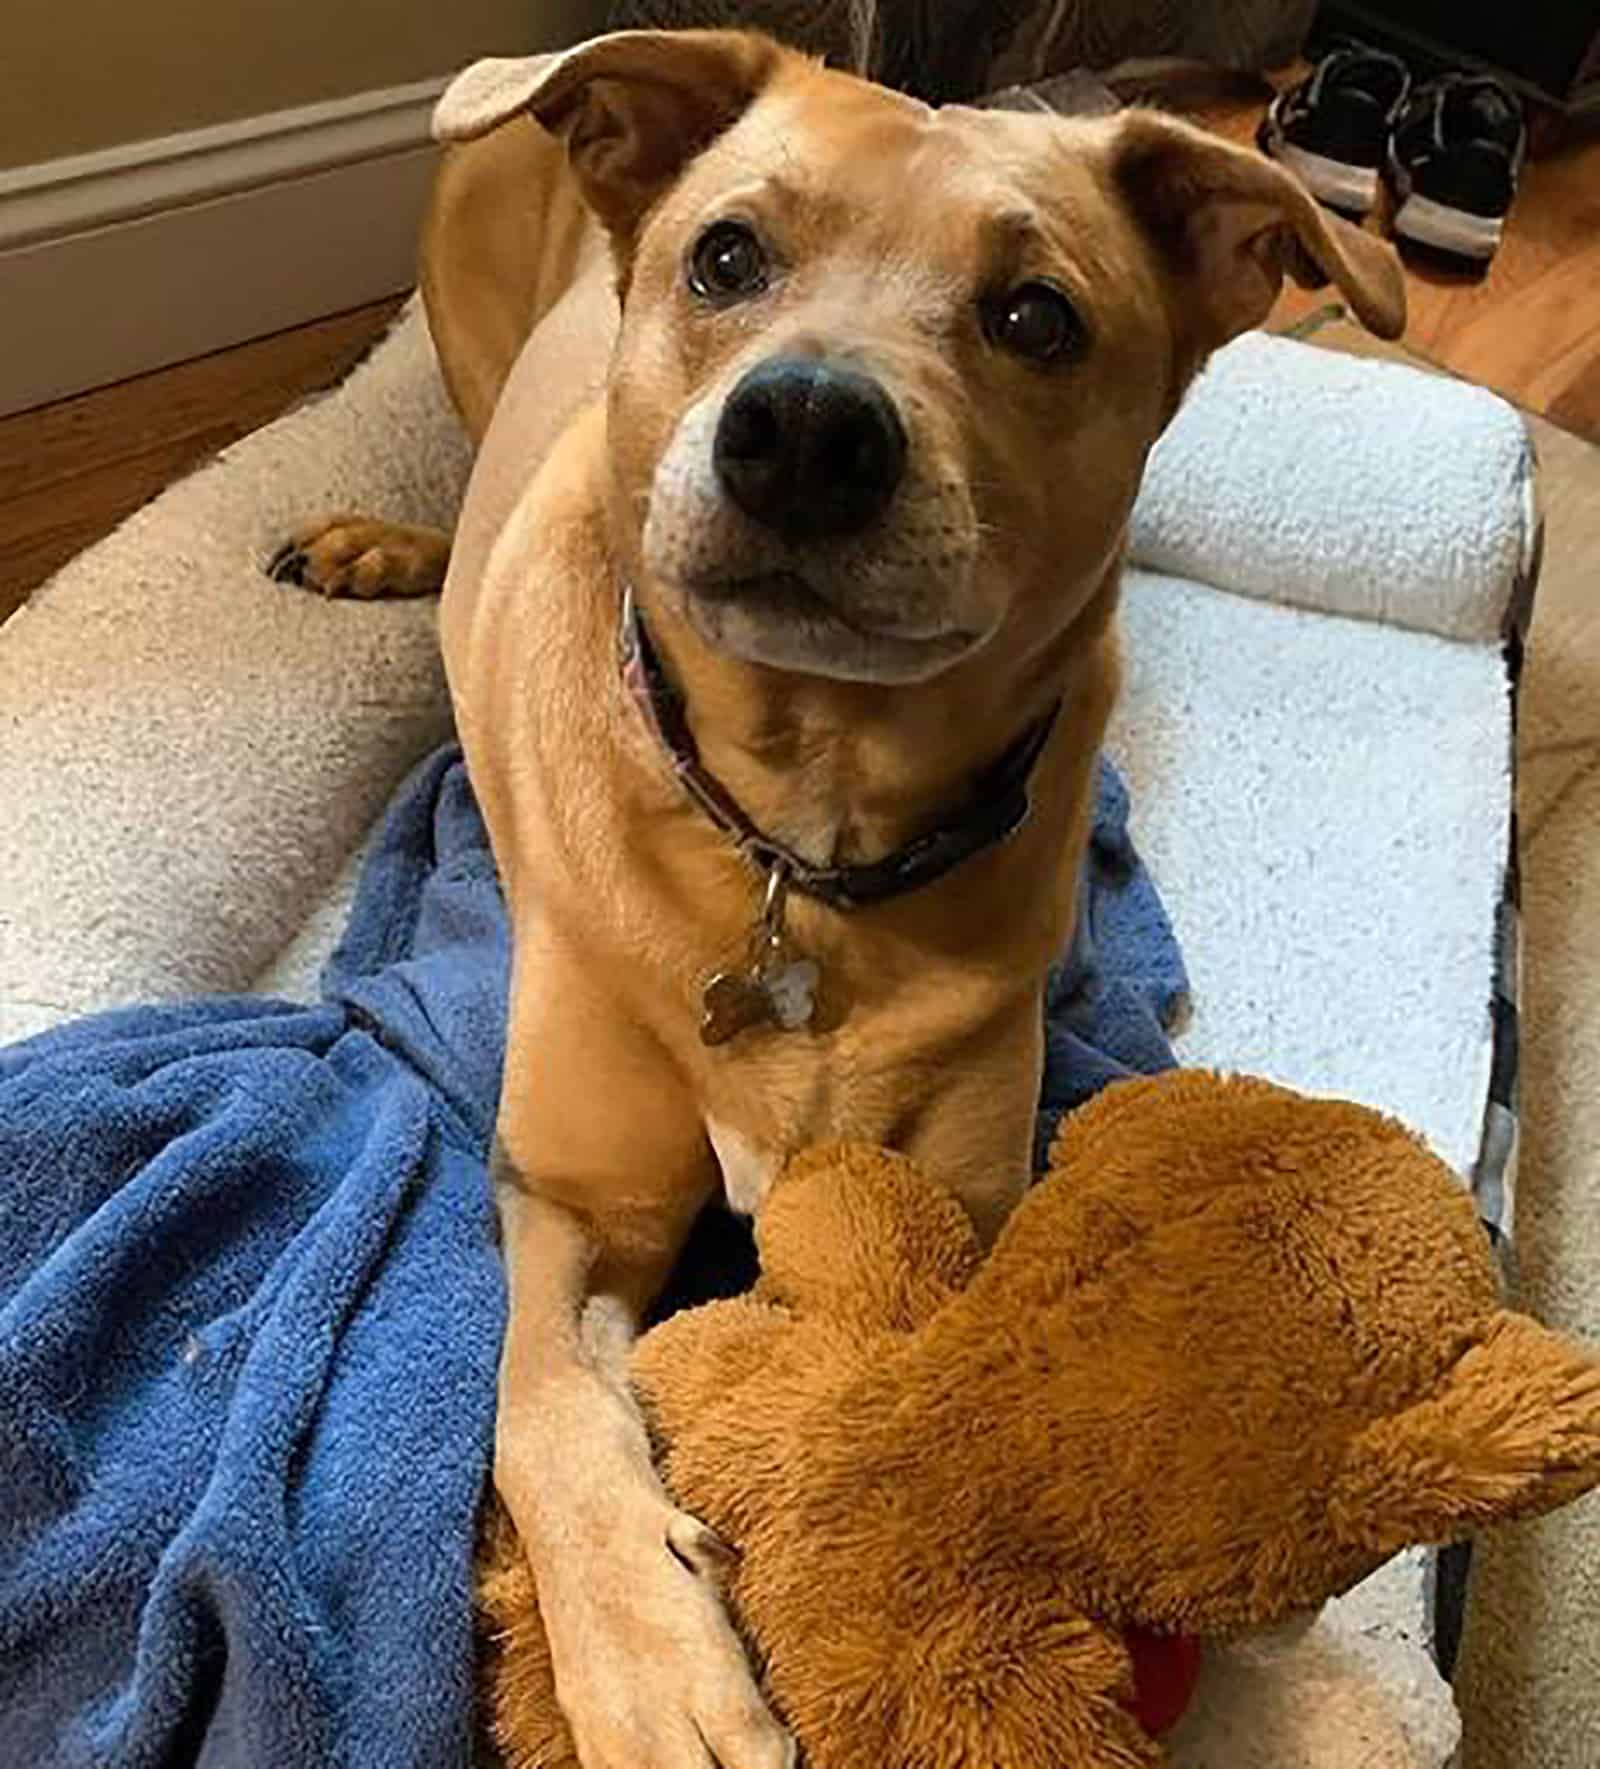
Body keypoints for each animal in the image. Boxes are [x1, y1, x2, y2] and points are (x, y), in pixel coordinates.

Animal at [281, 34, 1408, 1769]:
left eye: (1036, 316)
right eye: (727, 257)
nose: (804, 429)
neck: (797, 842)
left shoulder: (958, 1202)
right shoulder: (570, 1203)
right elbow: (539, 1413)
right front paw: (653, 1670)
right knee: (459, 473)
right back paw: (386, 544)